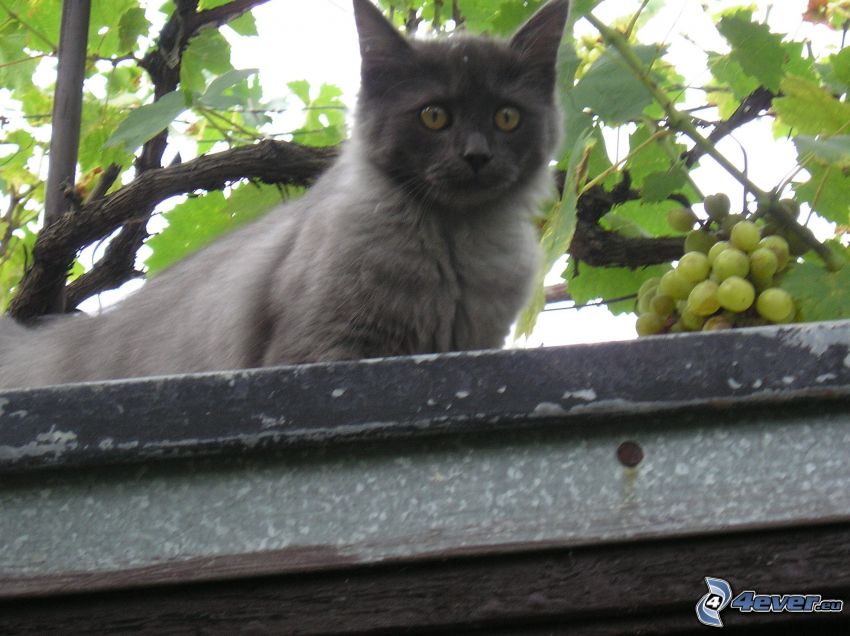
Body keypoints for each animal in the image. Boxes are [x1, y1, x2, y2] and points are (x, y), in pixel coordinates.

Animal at [1, 0, 568, 390]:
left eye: (506, 117)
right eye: (434, 116)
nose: (476, 156)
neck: (456, 245)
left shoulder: (473, 343)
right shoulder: (325, 347)